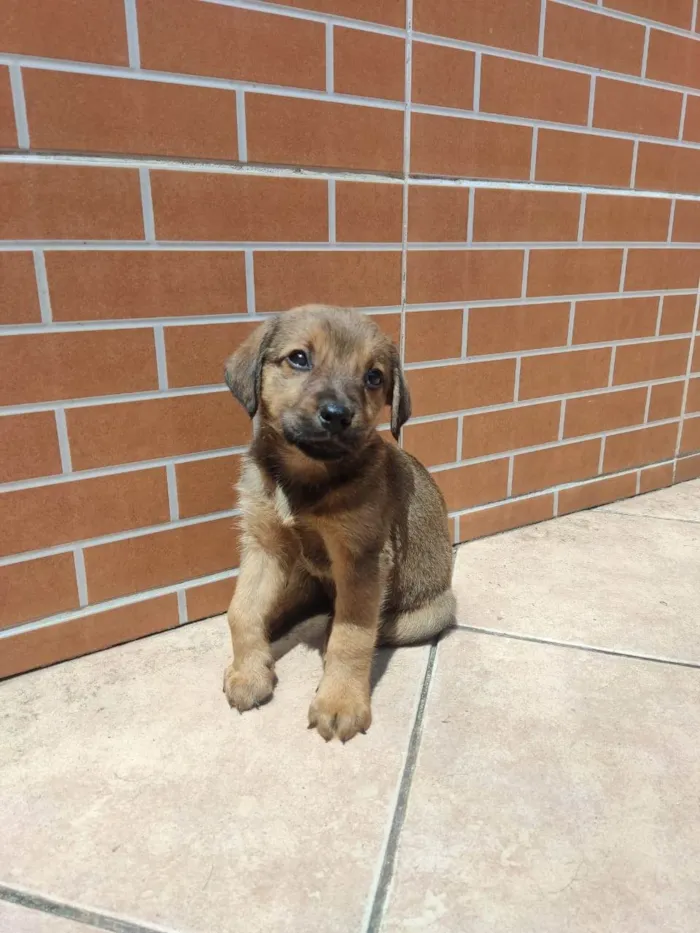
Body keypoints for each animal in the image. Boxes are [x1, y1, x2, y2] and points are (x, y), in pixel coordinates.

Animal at [221, 306, 456, 744]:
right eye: (299, 358)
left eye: (374, 376)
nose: (337, 416)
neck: (306, 479)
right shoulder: (264, 544)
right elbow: (241, 610)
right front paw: (249, 672)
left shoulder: (361, 560)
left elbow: (352, 636)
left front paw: (339, 702)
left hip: (428, 614)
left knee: (358, 625)